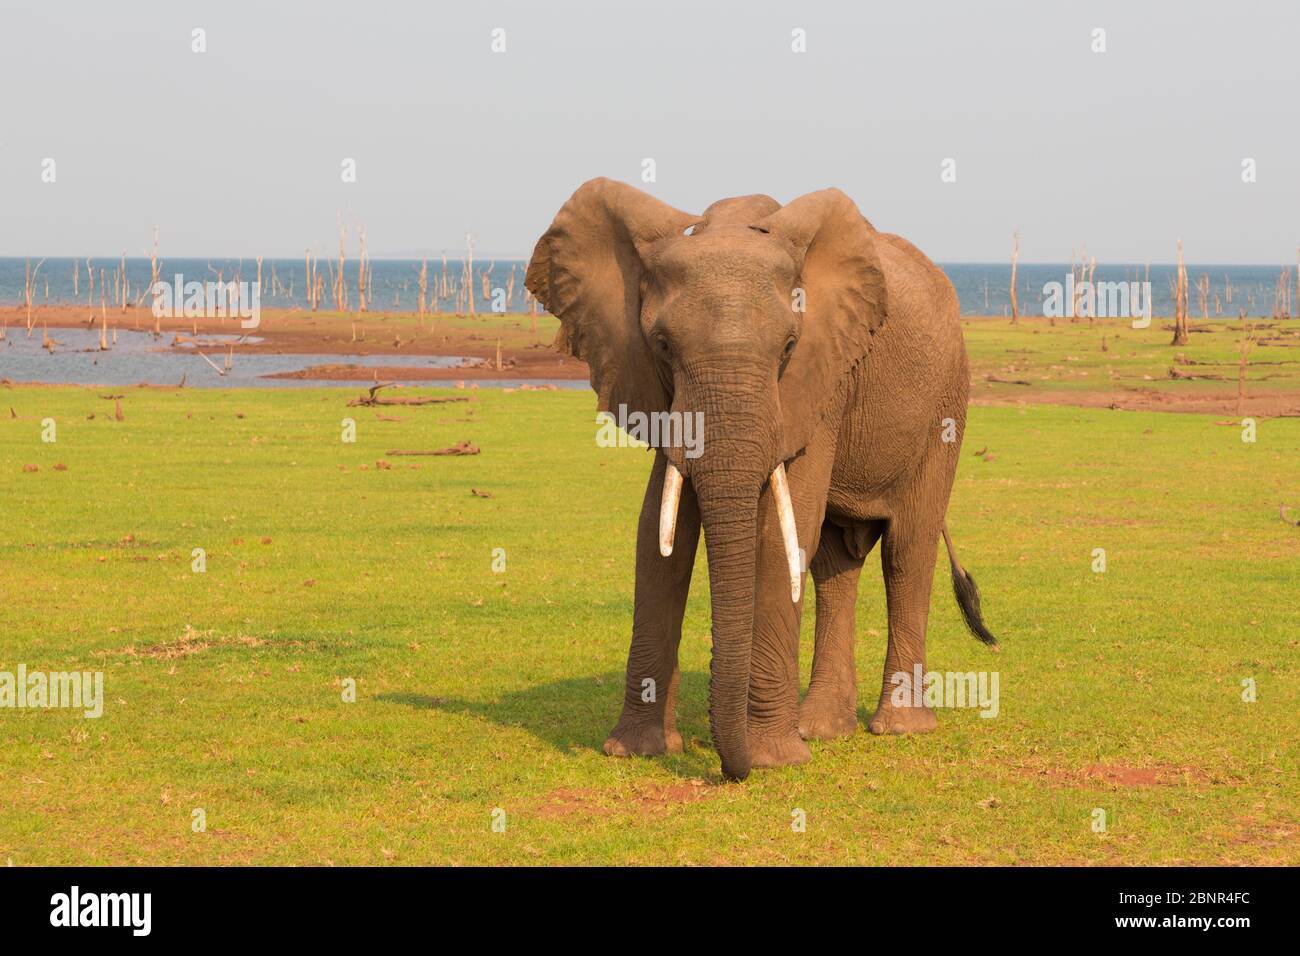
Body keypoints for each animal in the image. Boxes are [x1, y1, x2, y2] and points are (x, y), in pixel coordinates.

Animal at [522, 179, 998, 785]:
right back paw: (822, 729)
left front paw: (773, 759)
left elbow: (778, 531)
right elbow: (658, 533)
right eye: (662, 345)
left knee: (906, 550)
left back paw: (896, 729)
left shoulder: (822, 378)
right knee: (835, 562)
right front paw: (636, 751)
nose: (733, 770)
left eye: (789, 348)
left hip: (947, 406)